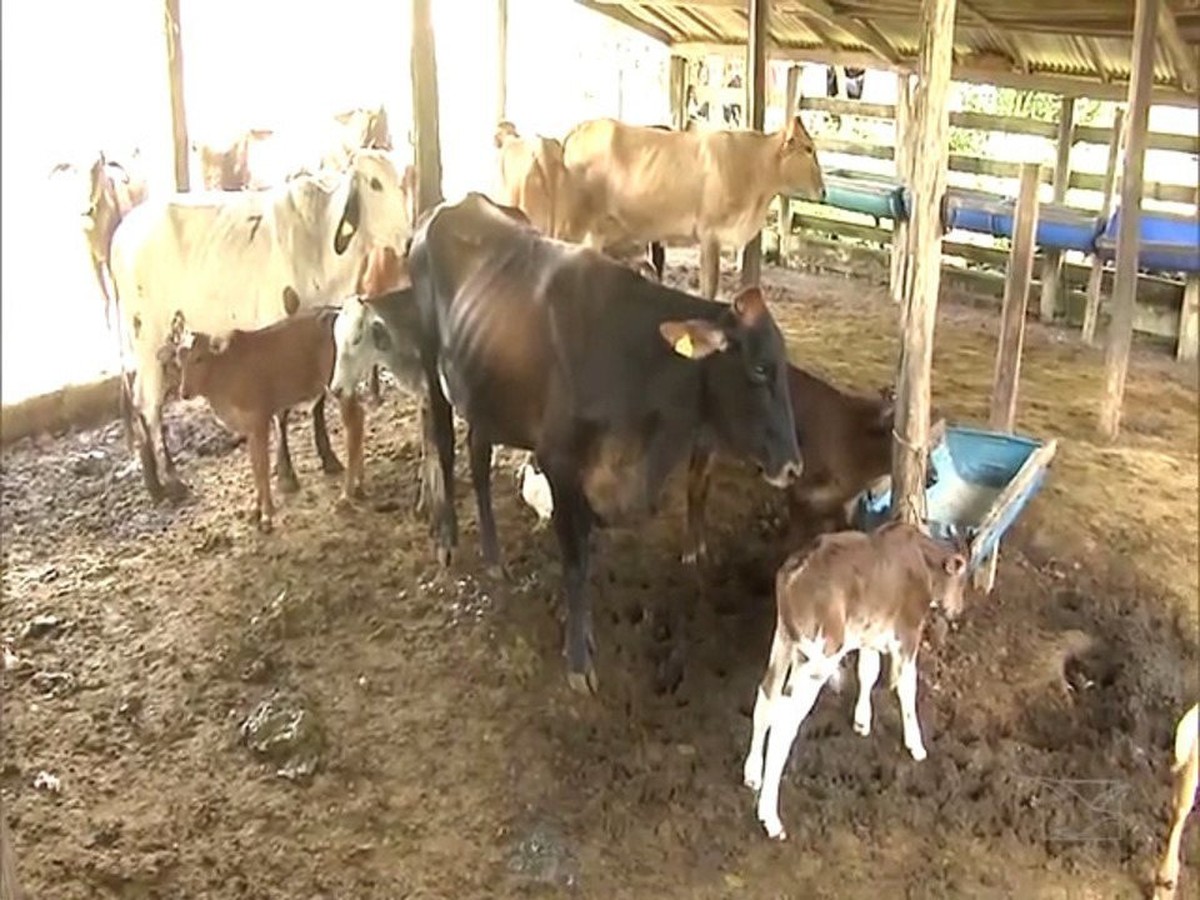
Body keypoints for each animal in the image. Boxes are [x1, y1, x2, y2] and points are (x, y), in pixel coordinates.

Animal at [110, 148, 415, 501]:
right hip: (146, 337)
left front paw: (328, 458)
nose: (409, 240)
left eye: (402, 180)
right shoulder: (277, 326)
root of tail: (120, 235)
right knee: (148, 403)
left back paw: (156, 481)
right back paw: (167, 481)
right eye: (374, 183)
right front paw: (286, 474)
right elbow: (281, 408)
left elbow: (319, 397)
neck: (319, 240)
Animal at [169, 309, 362, 535]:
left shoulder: (259, 419)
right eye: (179, 360)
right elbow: (255, 465)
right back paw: (359, 485)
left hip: (340, 384)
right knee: (359, 418)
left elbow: (263, 466)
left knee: (353, 428)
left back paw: (346, 495)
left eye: (199, 358)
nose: (184, 392)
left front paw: (267, 515)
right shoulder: (248, 427)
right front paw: (255, 510)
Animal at [408, 194, 801, 696]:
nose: (793, 466)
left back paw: (494, 559)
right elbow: (575, 559)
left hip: (488, 392)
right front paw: (579, 661)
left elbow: (588, 551)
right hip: (431, 361)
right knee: (442, 439)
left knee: (478, 454)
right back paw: (447, 541)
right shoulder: (558, 461)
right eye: (759, 370)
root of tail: (451, 205)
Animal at [744, 525, 969, 844]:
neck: (921, 559)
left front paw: (862, 721)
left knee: (767, 695)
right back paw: (771, 819)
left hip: (786, 640)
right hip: (821, 654)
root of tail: (793, 573)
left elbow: (868, 670)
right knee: (785, 723)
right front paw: (916, 745)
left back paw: (753, 773)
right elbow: (907, 687)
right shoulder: (908, 634)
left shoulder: (869, 634)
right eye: (962, 579)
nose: (957, 611)